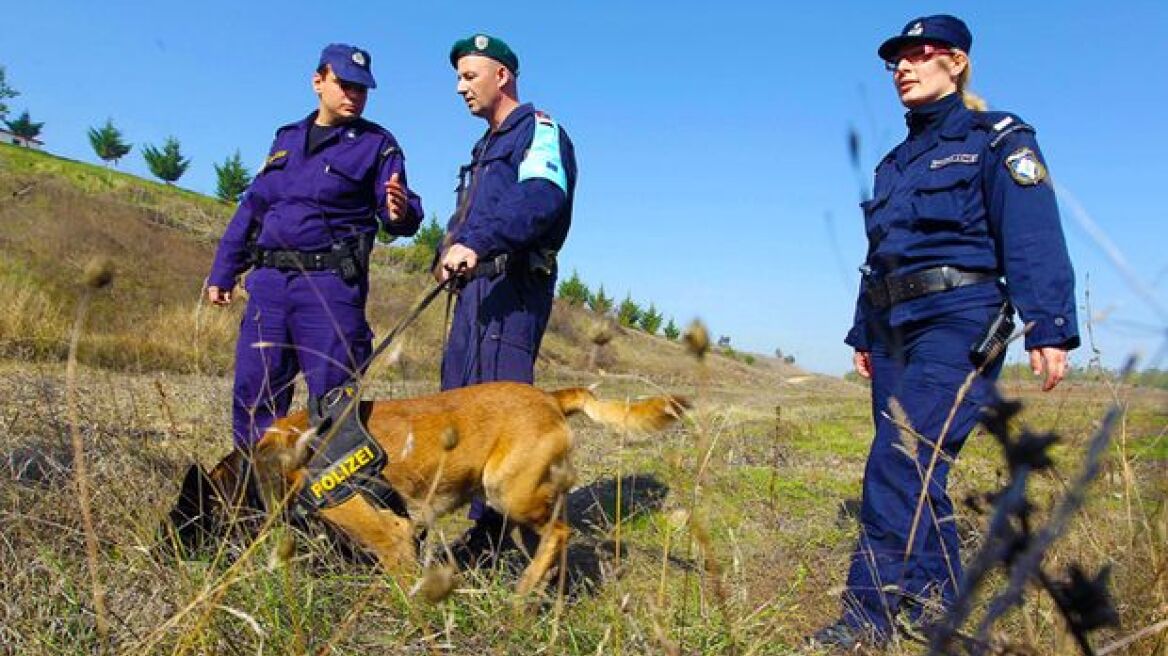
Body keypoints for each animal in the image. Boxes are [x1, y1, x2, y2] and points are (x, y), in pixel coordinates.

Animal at [169, 382, 686, 592]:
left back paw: (524, 593)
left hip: (507, 492)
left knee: (560, 532)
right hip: (520, 506)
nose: (163, 555)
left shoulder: (395, 539)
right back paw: (543, 589)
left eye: (182, 522)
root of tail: (552, 396)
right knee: (551, 537)